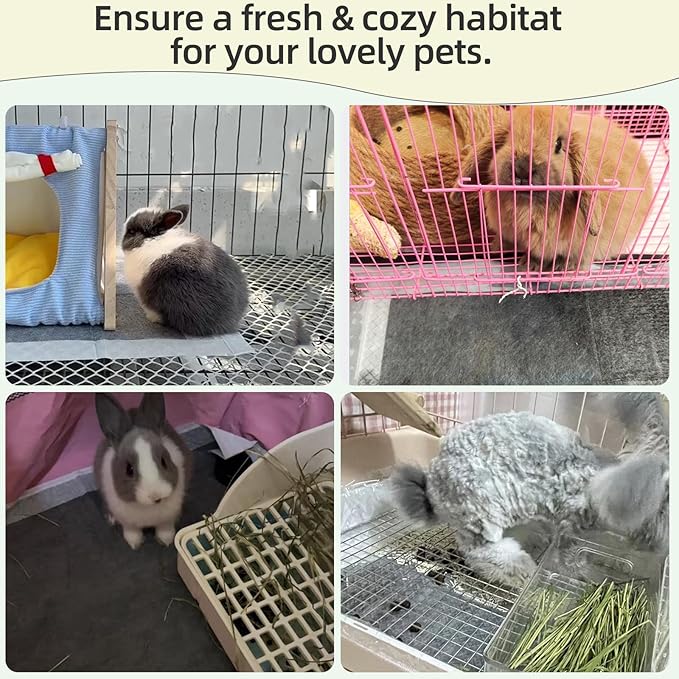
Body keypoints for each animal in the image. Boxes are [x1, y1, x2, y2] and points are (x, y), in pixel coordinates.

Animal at [94, 393, 192, 550]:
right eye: (129, 469)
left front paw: (165, 541)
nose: (155, 495)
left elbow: (165, 528)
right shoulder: (128, 522)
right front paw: (135, 544)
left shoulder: (167, 518)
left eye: (164, 461)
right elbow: (131, 531)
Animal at [390, 394, 668, 589]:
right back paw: (525, 571)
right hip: (483, 513)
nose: (657, 548)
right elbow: (570, 556)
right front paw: (585, 574)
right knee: (484, 554)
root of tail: (433, 483)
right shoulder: (570, 524)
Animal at [453, 106, 654, 270]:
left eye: (558, 145)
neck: (528, 207)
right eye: (508, 139)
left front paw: (542, 265)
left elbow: (573, 255)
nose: (523, 168)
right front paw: (518, 258)